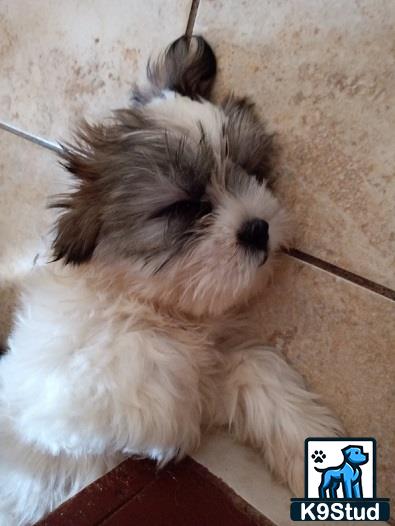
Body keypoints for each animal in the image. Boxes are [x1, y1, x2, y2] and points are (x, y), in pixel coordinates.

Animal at [0, 37, 342, 526]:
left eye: (252, 172)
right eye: (186, 206)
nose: (257, 228)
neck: (155, 307)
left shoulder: (219, 358)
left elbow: (254, 371)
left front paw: (308, 445)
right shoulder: (56, 399)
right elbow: (147, 396)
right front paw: (173, 430)